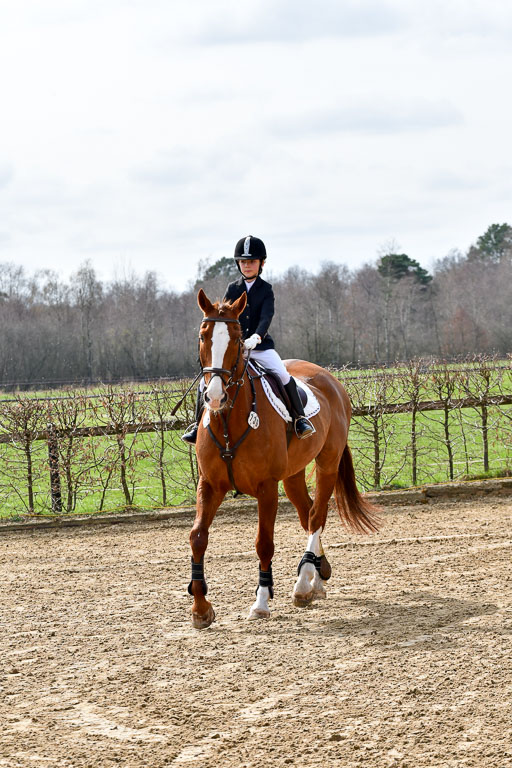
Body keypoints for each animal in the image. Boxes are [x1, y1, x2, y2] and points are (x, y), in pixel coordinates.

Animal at [189, 292, 380, 628]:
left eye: (237, 339)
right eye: (203, 336)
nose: (215, 397)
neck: (228, 420)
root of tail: (330, 379)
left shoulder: (266, 488)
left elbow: (264, 543)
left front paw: (261, 602)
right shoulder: (210, 484)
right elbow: (198, 537)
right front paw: (201, 609)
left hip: (327, 464)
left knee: (316, 516)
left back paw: (304, 584)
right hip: (292, 476)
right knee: (308, 514)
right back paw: (317, 578)